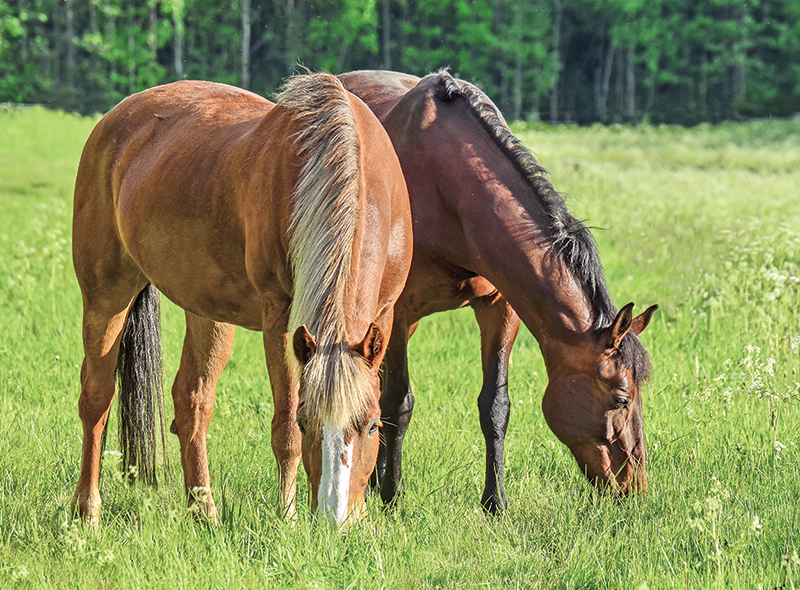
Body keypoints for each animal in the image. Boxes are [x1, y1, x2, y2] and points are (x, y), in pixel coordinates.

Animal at [70, 72, 412, 527]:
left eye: (372, 425)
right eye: (308, 422)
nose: (334, 519)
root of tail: (114, 119)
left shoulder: (385, 314)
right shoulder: (280, 317)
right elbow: (284, 429)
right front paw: (287, 519)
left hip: (207, 311)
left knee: (192, 403)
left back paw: (204, 514)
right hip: (106, 293)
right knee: (97, 396)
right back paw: (87, 512)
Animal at [338, 69, 657, 513]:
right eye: (622, 399)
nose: (635, 487)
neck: (449, 188)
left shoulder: (500, 307)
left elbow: (495, 406)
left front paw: (496, 501)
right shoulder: (400, 312)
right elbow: (398, 403)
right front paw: (393, 496)